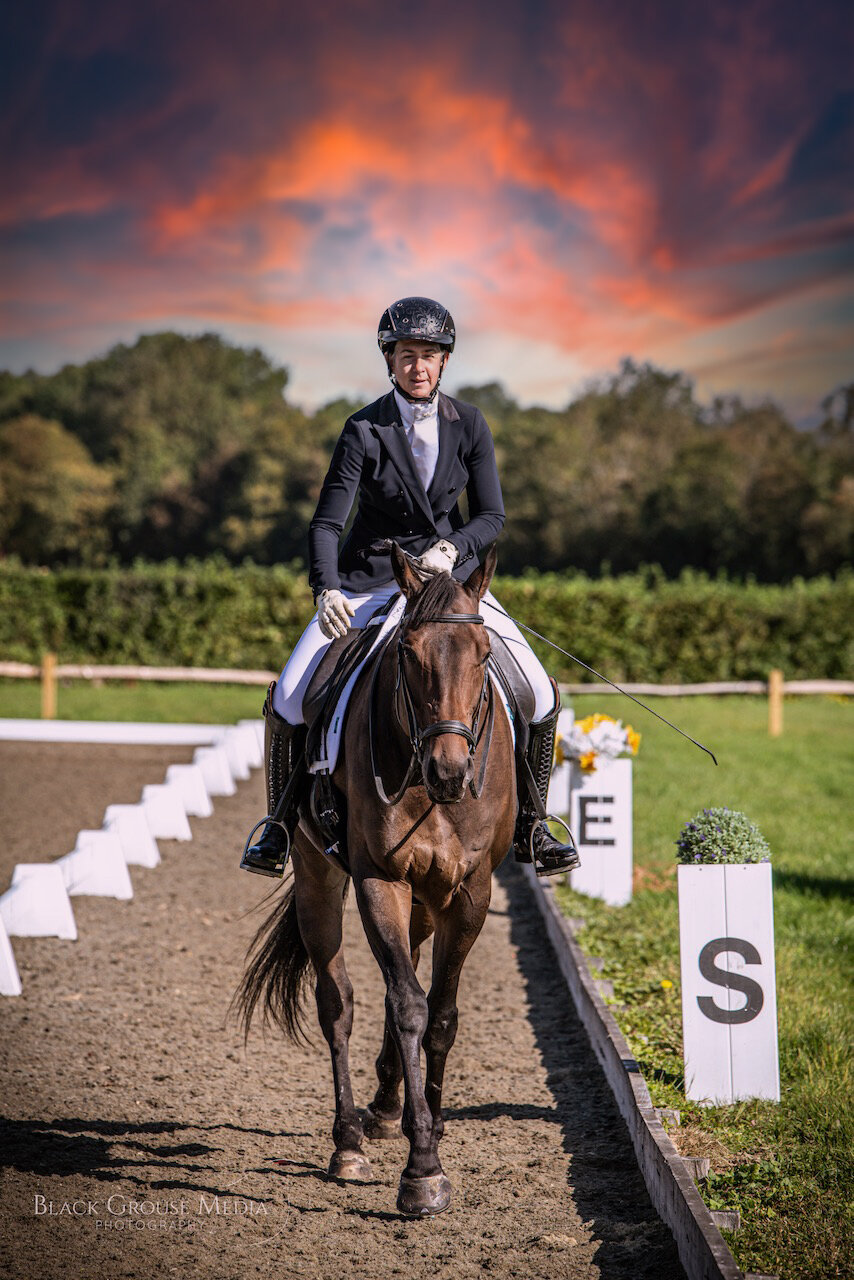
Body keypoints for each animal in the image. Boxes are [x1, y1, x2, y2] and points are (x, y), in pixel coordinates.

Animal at [234, 542, 514, 1218]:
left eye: (484, 654)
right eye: (408, 655)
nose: (449, 772)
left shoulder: (471, 891)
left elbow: (441, 1013)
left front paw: (429, 1125)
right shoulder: (379, 880)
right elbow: (410, 1005)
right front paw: (423, 1170)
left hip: (427, 899)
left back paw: (390, 1110)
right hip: (318, 877)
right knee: (339, 1002)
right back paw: (350, 1144)